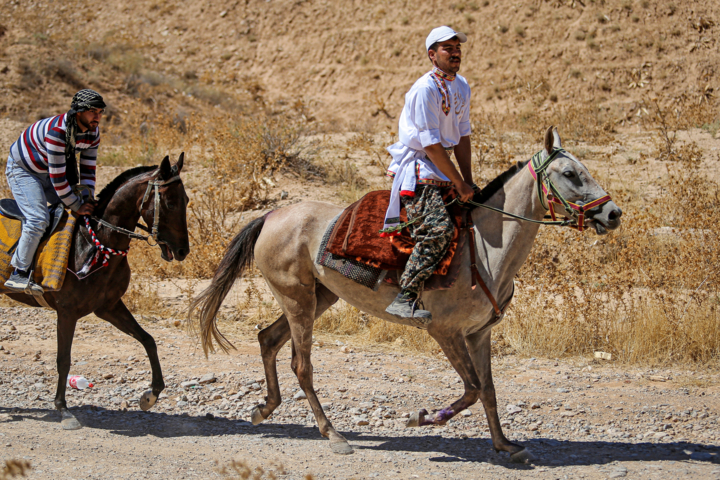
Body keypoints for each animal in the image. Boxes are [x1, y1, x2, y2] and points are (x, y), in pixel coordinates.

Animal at [4, 155, 188, 432]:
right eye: (170, 202)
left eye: (185, 200)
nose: (182, 250)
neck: (95, 243)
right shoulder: (67, 312)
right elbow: (64, 359)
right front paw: (63, 409)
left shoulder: (108, 306)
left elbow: (148, 340)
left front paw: (151, 394)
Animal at [190, 126, 620, 462]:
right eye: (570, 173)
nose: (613, 213)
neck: (483, 248)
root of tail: (270, 216)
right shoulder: (445, 332)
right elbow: (472, 389)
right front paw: (422, 417)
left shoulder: (479, 333)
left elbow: (489, 390)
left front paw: (504, 445)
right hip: (299, 300)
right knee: (301, 364)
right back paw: (333, 435)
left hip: (318, 297)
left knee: (268, 339)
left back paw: (264, 409)